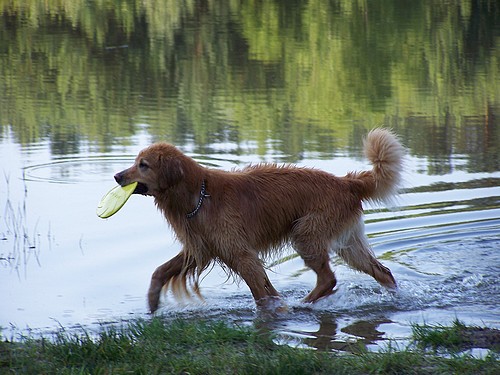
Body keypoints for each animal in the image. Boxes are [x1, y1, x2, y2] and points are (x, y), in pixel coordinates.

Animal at [115, 128, 404, 312]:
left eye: (143, 165)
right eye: (135, 162)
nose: (117, 176)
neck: (199, 194)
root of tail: (346, 182)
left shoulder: (242, 254)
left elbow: (261, 293)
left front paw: (273, 310)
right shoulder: (202, 248)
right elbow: (160, 270)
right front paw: (152, 302)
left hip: (305, 234)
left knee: (328, 279)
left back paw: (303, 304)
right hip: (348, 244)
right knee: (382, 271)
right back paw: (395, 297)